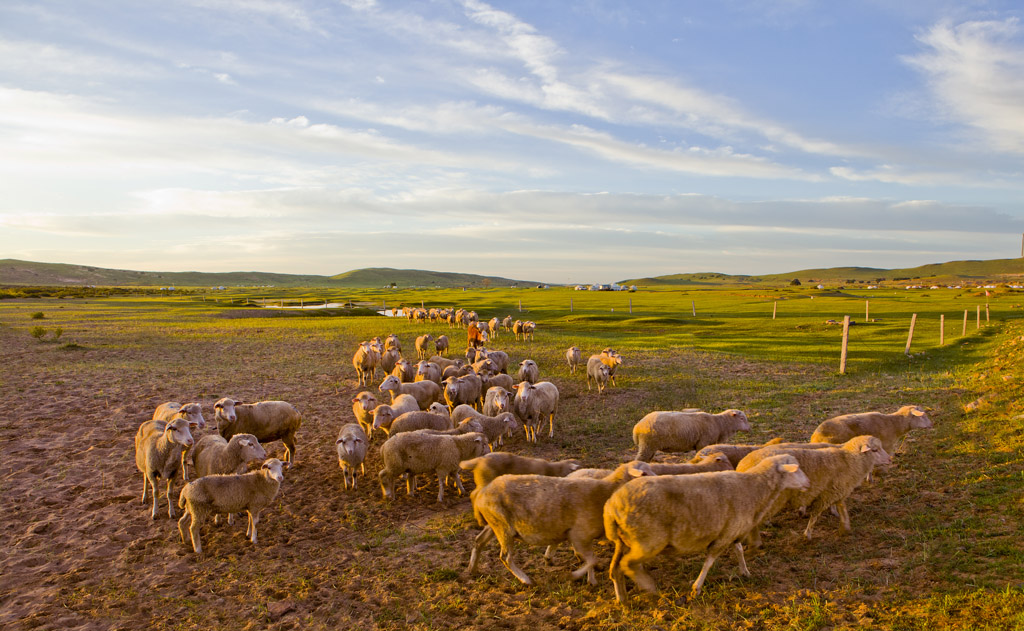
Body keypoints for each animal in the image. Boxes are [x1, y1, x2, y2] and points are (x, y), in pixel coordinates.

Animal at [468, 458, 651, 585]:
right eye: (645, 473)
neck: (604, 490)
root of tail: (482, 492)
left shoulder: (582, 536)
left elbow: (590, 559)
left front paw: (590, 579)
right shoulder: (579, 535)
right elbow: (591, 559)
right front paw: (579, 576)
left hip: (494, 525)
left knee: (478, 541)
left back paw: (472, 570)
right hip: (503, 528)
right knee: (505, 557)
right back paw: (526, 580)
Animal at [602, 452, 811, 602]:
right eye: (796, 470)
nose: (809, 483)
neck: (754, 488)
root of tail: (612, 506)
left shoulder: (731, 530)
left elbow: (739, 550)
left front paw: (745, 572)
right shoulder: (722, 537)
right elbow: (709, 562)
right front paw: (696, 588)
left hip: (623, 541)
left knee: (615, 569)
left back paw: (622, 599)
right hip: (648, 541)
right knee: (627, 564)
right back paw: (648, 586)